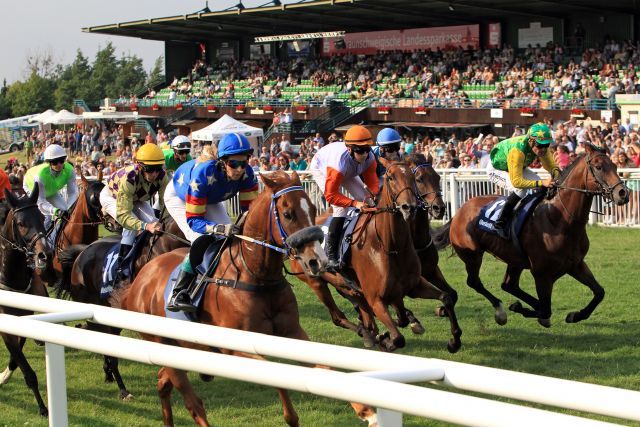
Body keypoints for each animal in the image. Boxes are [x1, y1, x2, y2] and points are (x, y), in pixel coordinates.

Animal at [116, 171, 376, 427]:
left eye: (313, 209)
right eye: (288, 213)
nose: (317, 261)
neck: (257, 275)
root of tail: (139, 280)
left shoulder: (293, 334)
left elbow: (325, 369)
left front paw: (365, 409)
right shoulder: (234, 348)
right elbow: (276, 373)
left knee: (162, 382)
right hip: (162, 344)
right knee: (193, 404)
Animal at [292, 159, 462, 352]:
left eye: (436, 177)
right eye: (391, 177)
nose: (438, 207)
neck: (390, 246)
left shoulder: (419, 281)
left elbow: (447, 296)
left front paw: (453, 340)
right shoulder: (377, 299)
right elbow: (398, 337)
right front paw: (388, 337)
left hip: (344, 284)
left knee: (359, 306)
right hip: (316, 282)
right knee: (339, 317)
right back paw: (368, 332)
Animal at [430, 144, 632, 328]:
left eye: (615, 165)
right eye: (598, 167)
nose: (623, 193)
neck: (560, 218)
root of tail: (459, 212)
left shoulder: (576, 264)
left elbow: (599, 292)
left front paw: (574, 315)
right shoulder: (542, 274)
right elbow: (546, 309)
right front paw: (522, 308)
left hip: (514, 258)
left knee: (508, 285)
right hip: (472, 254)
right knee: (474, 282)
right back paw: (500, 310)